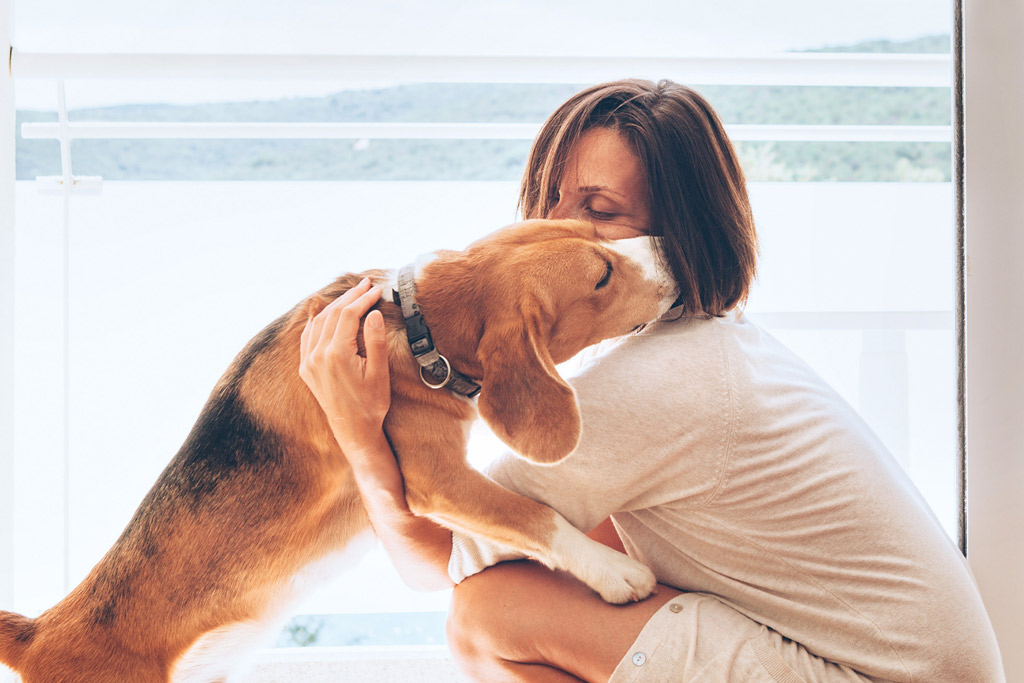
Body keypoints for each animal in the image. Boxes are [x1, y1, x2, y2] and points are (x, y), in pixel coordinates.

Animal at [0, 219, 675, 683]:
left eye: (599, 228)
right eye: (601, 275)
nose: (668, 244)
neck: (412, 319)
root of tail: (40, 633)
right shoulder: (437, 478)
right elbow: (534, 515)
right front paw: (613, 570)